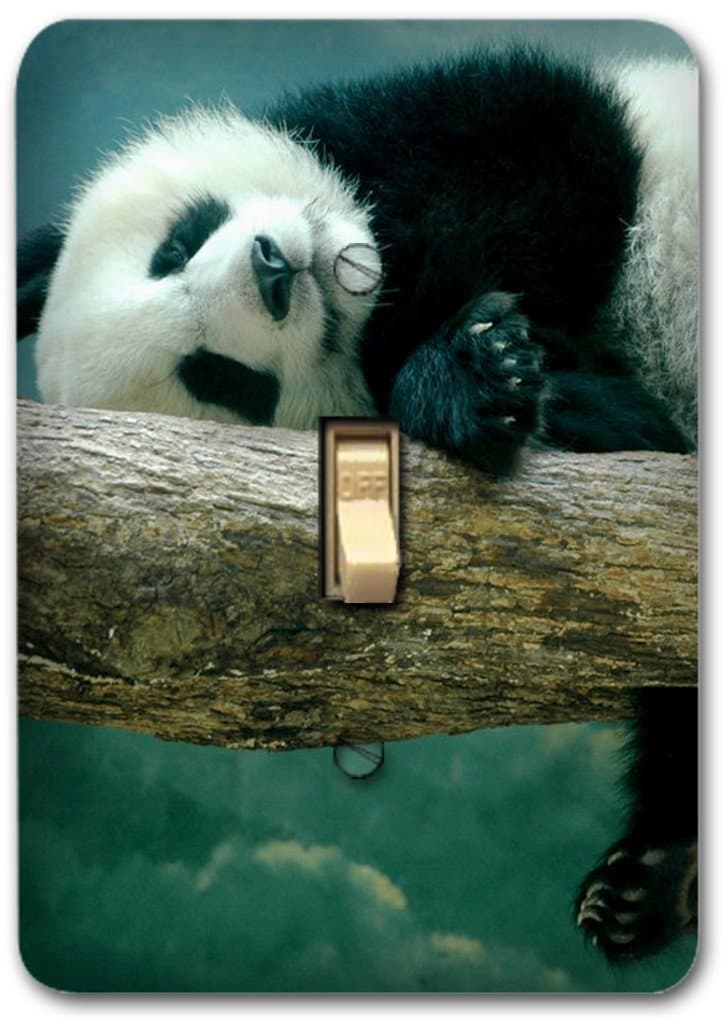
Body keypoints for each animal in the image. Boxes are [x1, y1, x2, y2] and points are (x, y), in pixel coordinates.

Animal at [17, 46, 698, 962]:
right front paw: (488, 380)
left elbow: (537, 152)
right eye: (221, 378)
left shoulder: (478, 126)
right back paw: (647, 880)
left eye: (177, 245)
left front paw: (471, 350)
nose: (275, 270)